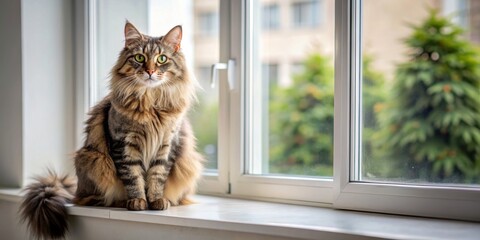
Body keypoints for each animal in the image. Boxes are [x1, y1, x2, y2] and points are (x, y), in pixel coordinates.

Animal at [19, 21, 203, 239]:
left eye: (162, 59)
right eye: (140, 58)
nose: (150, 71)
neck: (150, 102)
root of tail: (76, 189)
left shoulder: (167, 145)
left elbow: (157, 176)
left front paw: (156, 200)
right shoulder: (124, 144)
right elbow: (133, 177)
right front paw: (138, 201)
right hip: (93, 160)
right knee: (94, 200)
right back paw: (122, 202)